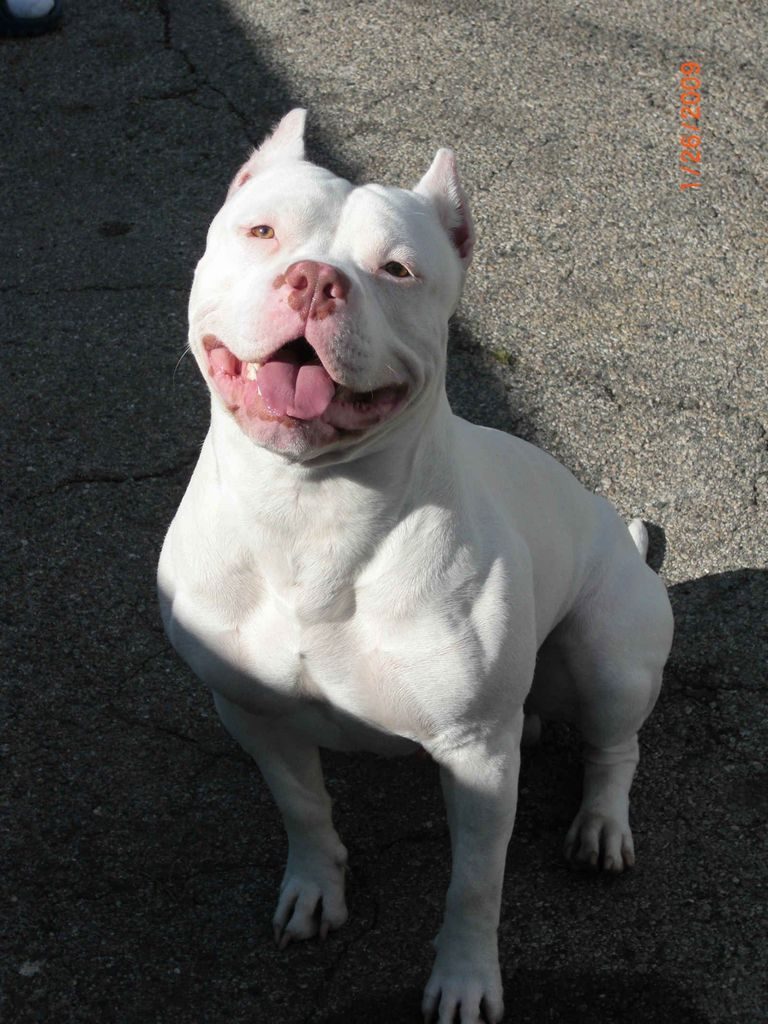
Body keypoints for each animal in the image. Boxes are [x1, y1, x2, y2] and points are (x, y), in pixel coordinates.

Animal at [159, 112, 675, 1024]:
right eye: (262, 233)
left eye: (396, 269)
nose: (313, 282)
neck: (311, 514)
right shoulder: (248, 709)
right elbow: (303, 808)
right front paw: (315, 887)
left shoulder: (476, 757)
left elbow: (474, 886)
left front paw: (465, 981)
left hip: (612, 651)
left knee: (617, 747)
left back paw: (601, 826)